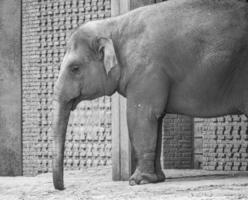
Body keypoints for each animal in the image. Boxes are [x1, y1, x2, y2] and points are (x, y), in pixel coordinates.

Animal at [52, 0, 248, 191]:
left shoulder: (146, 69)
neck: (113, 24)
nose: (63, 187)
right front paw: (157, 179)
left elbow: (140, 116)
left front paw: (138, 181)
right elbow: (156, 119)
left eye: (75, 68)